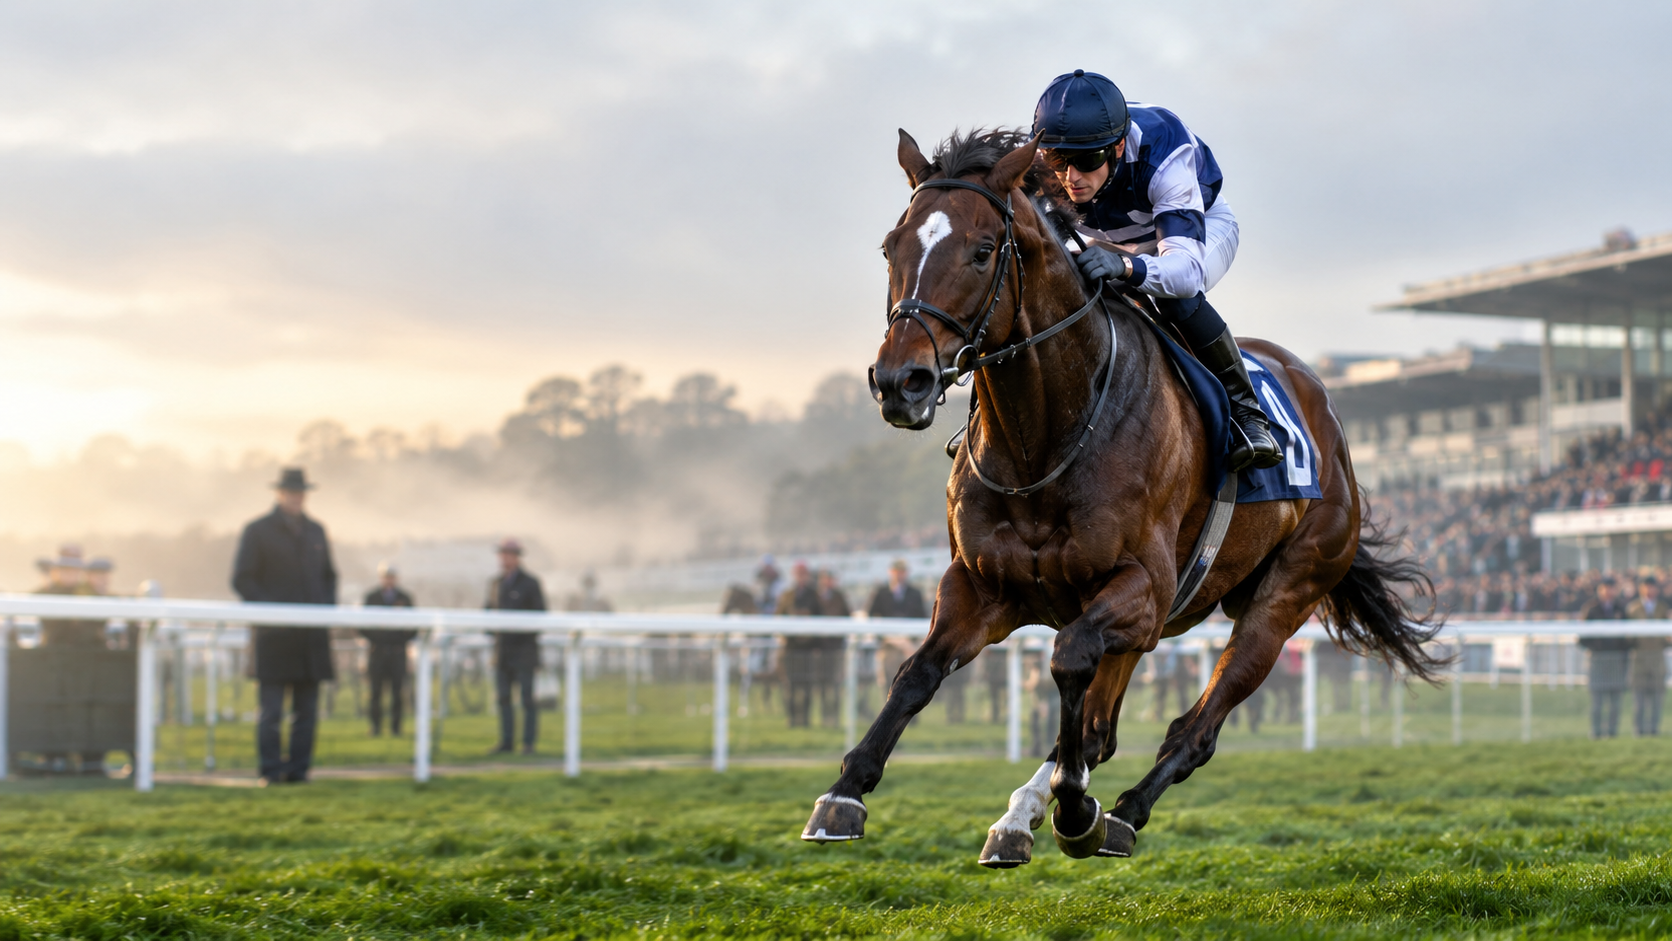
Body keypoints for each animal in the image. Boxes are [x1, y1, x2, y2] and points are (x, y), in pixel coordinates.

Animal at [799, 128, 1441, 865]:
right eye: (891, 246)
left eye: (983, 250)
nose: (899, 381)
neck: (1045, 441)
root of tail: (1329, 421)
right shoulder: (983, 585)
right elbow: (917, 672)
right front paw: (843, 793)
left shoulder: (1142, 588)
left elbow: (1069, 659)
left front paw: (1076, 807)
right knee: (1102, 727)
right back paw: (1022, 818)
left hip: (1283, 594)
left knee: (1194, 727)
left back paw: (1119, 812)